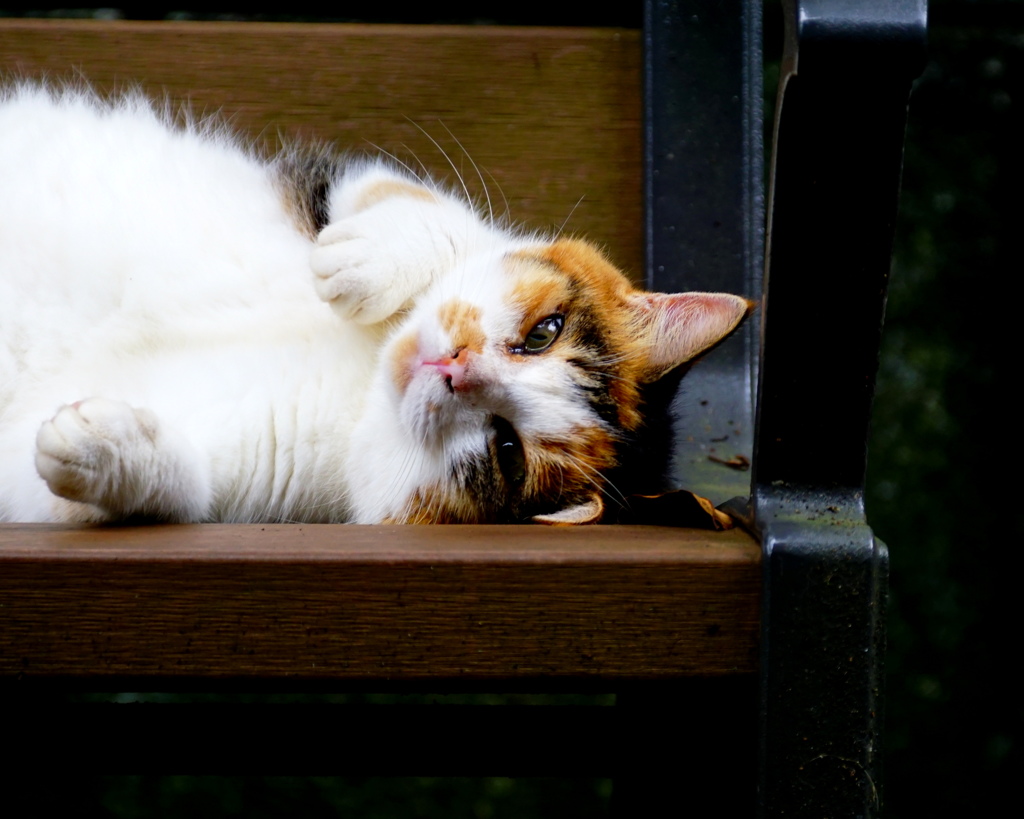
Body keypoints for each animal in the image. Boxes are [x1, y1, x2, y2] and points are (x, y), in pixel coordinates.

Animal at [0, 84, 753, 524]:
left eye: (506, 449)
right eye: (545, 331)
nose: (455, 365)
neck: (364, 381)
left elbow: (163, 487)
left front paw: (100, 443)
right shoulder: (335, 182)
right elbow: (412, 203)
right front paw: (358, 261)